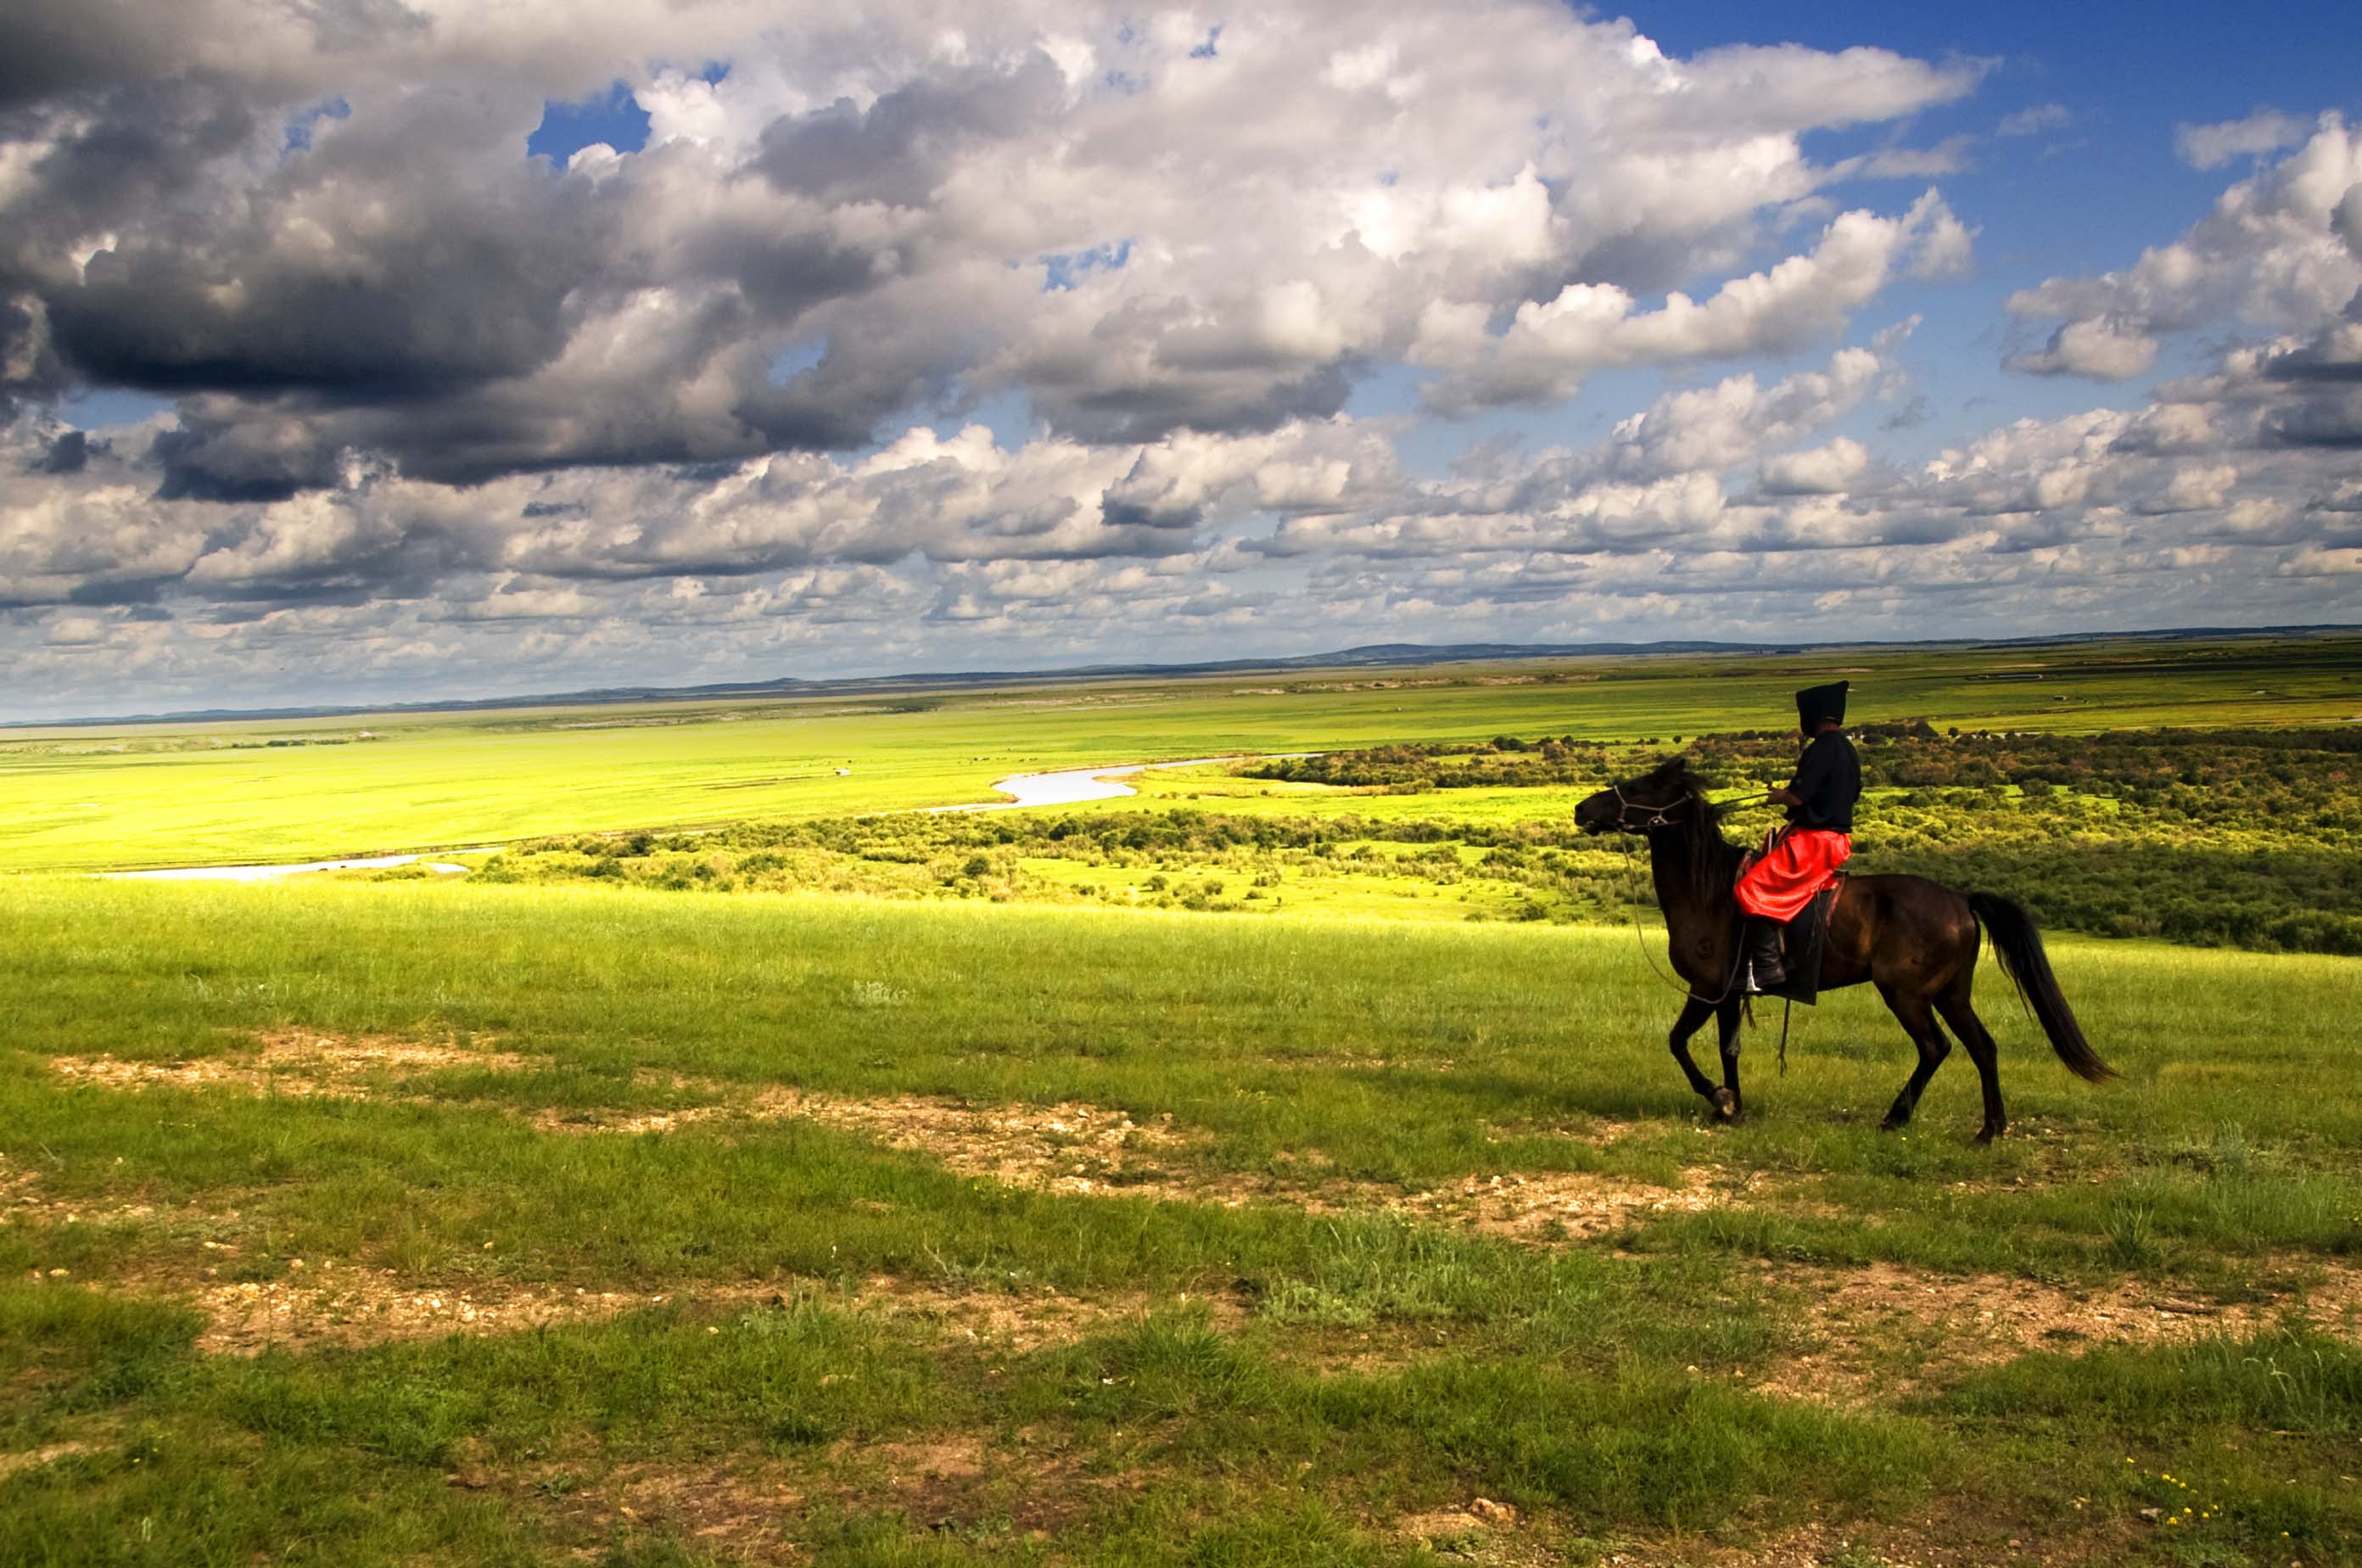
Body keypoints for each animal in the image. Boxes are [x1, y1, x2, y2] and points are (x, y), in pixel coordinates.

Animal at [1577, 755, 2116, 1138]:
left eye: (1640, 787)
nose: (1583, 809)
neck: (1707, 890)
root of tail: (1962, 900)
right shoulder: (1728, 994)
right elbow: (1728, 1047)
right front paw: (1732, 1105)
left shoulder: (1708, 988)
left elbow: (1680, 1042)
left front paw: (1721, 1100)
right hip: (1951, 994)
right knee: (1982, 1046)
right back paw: (1990, 1129)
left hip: (1907, 995)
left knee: (1935, 1047)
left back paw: (1896, 1118)